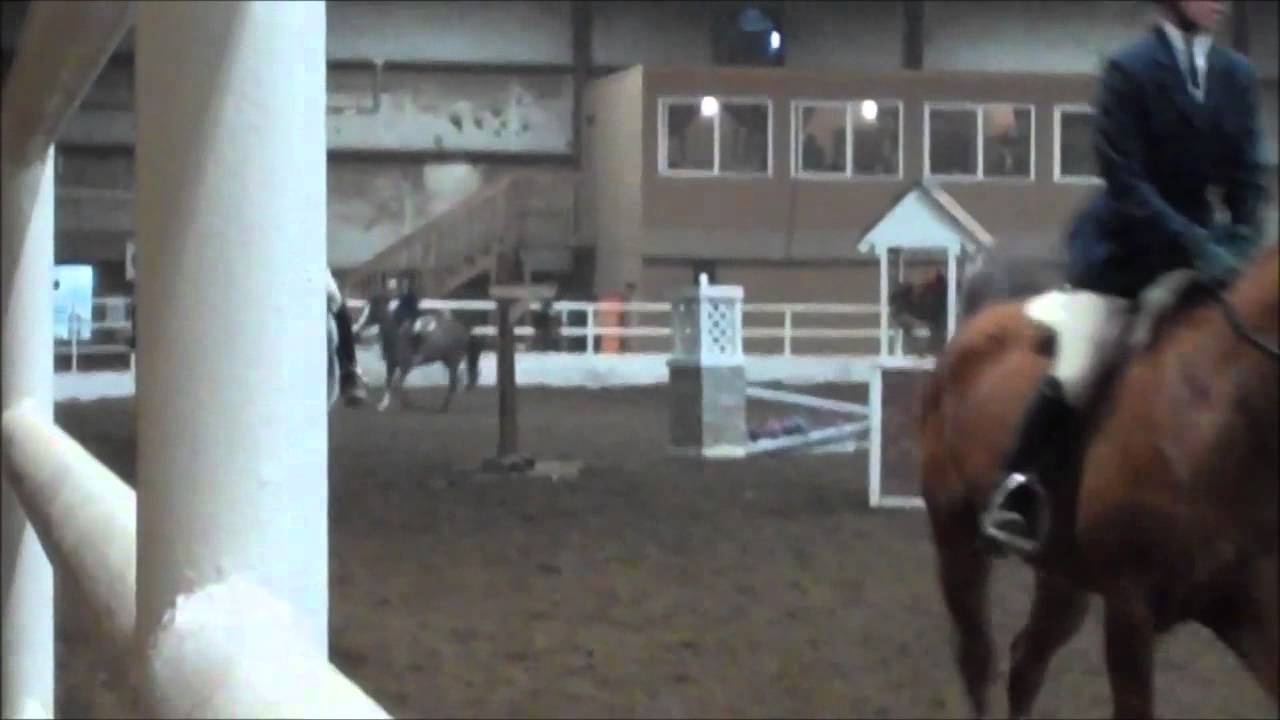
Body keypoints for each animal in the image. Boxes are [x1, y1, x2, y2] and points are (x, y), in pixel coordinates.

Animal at [354, 294, 483, 413]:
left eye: (372, 310)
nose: (357, 330)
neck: (396, 339)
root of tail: (464, 331)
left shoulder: (405, 366)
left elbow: (397, 384)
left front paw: (407, 404)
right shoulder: (391, 365)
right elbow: (389, 383)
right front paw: (383, 405)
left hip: (453, 360)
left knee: (453, 383)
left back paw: (444, 407)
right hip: (447, 360)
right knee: (457, 379)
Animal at [917, 243, 1278, 718]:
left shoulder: (1244, 599)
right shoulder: (1130, 606)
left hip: (1062, 575)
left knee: (1026, 660)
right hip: (955, 537)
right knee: (977, 658)